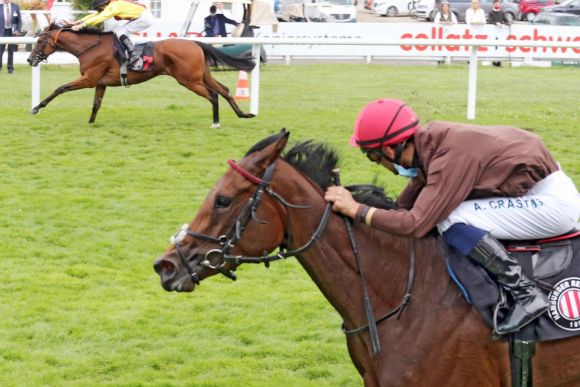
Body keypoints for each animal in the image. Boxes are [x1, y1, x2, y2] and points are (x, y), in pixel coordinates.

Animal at [27, 23, 254, 128]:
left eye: (40, 41)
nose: (30, 59)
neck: (90, 48)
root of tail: (195, 42)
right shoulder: (101, 83)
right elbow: (96, 105)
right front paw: (91, 123)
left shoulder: (89, 79)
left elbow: (60, 88)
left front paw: (37, 107)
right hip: (201, 75)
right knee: (224, 90)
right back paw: (244, 114)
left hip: (189, 80)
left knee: (213, 95)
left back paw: (216, 122)